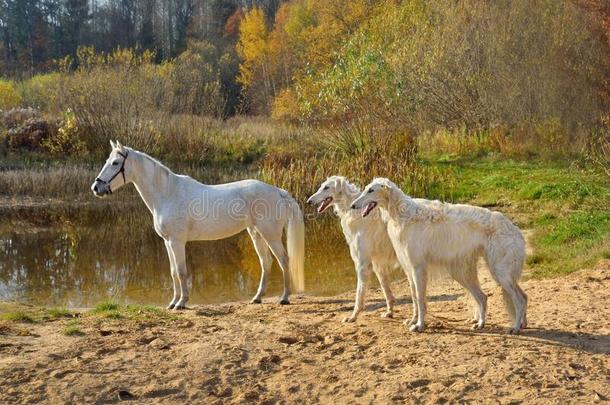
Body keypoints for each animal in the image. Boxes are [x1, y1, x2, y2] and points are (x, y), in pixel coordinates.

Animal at [91, 140, 304, 308]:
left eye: (115, 163)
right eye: (108, 161)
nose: (96, 187)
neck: (168, 193)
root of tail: (278, 191)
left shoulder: (177, 242)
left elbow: (181, 271)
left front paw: (181, 302)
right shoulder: (168, 242)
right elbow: (173, 272)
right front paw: (172, 302)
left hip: (270, 235)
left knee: (283, 260)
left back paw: (284, 298)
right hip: (256, 233)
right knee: (266, 262)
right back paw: (257, 298)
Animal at [306, 177, 402, 322]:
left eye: (326, 187)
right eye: (321, 186)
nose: (309, 201)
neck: (353, 211)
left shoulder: (362, 263)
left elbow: (359, 295)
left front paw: (353, 316)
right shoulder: (377, 264)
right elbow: (387, 292)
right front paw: (389, 312)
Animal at [350, 177, 524, 332]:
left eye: (371, 190)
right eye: (365, 189)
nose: (352, 205)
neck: (402, 213)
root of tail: (514, 228)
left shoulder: (418, 268)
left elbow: (420, 300)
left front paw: (419, 325)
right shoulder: (409, 269)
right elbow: (414, 298)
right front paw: (412, 320)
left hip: (499, 272)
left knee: (519, 299)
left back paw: (515, 327)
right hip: (466, 273)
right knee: (486, 297)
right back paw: (483, 323)